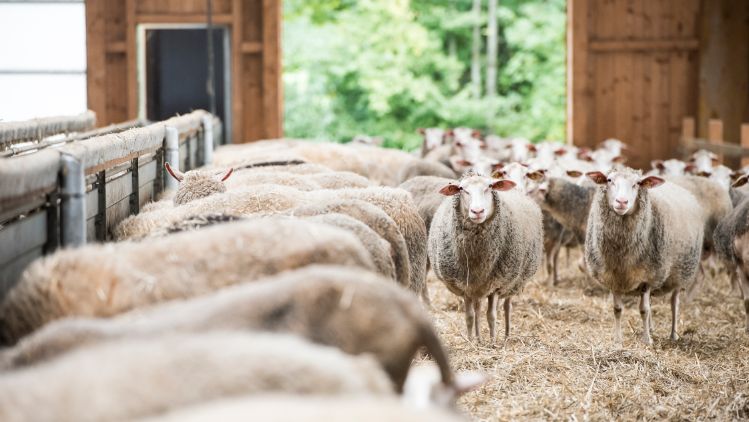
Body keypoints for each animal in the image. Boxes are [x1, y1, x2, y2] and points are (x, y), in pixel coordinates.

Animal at [428, 171, 543, 341]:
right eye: (461, 189)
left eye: (490, 186)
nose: (477, 211)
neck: (477, 255)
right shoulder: (466, 286)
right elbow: (469, 316)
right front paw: (471, 340)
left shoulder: (496, 283)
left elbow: (491, 316)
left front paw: (493, 340)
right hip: (478, 287)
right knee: (477, 308)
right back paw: (478, 338)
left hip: (512, 282)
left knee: (507, 306)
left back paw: (506, 335)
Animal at [585, 168, 704, 345]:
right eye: (609, 180)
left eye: (637, 183)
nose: (622, 202)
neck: (622, 253)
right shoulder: (614, 278)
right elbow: (617, 310)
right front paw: (618, 340)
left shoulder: (648, 277)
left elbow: (644, 310)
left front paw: (647, 340)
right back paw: (652, 328)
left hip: (681, 273)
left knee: (674, 303)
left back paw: (673, 334)